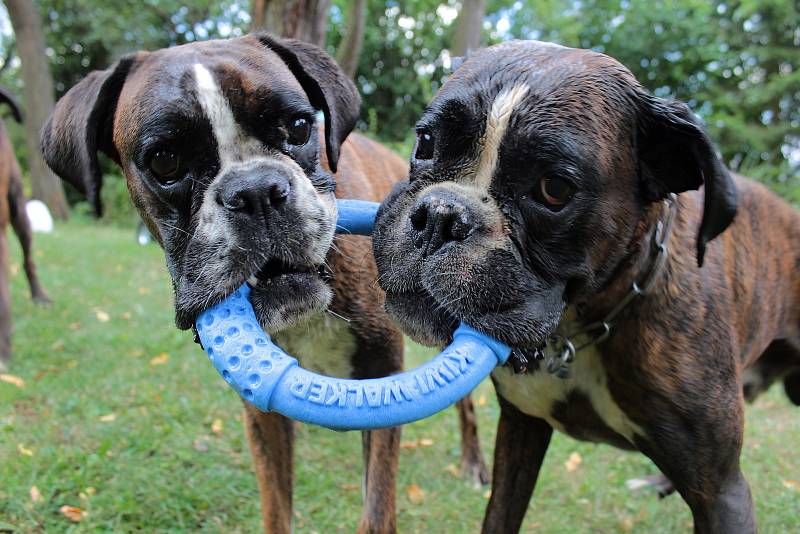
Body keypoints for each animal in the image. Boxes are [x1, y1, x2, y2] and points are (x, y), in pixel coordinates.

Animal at [376, 40, 800, 534]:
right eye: (426, 141)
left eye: (555, 189)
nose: (441, 216)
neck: (581, 327)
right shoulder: (520, 430)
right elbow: (501, 514)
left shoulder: (722, 492)